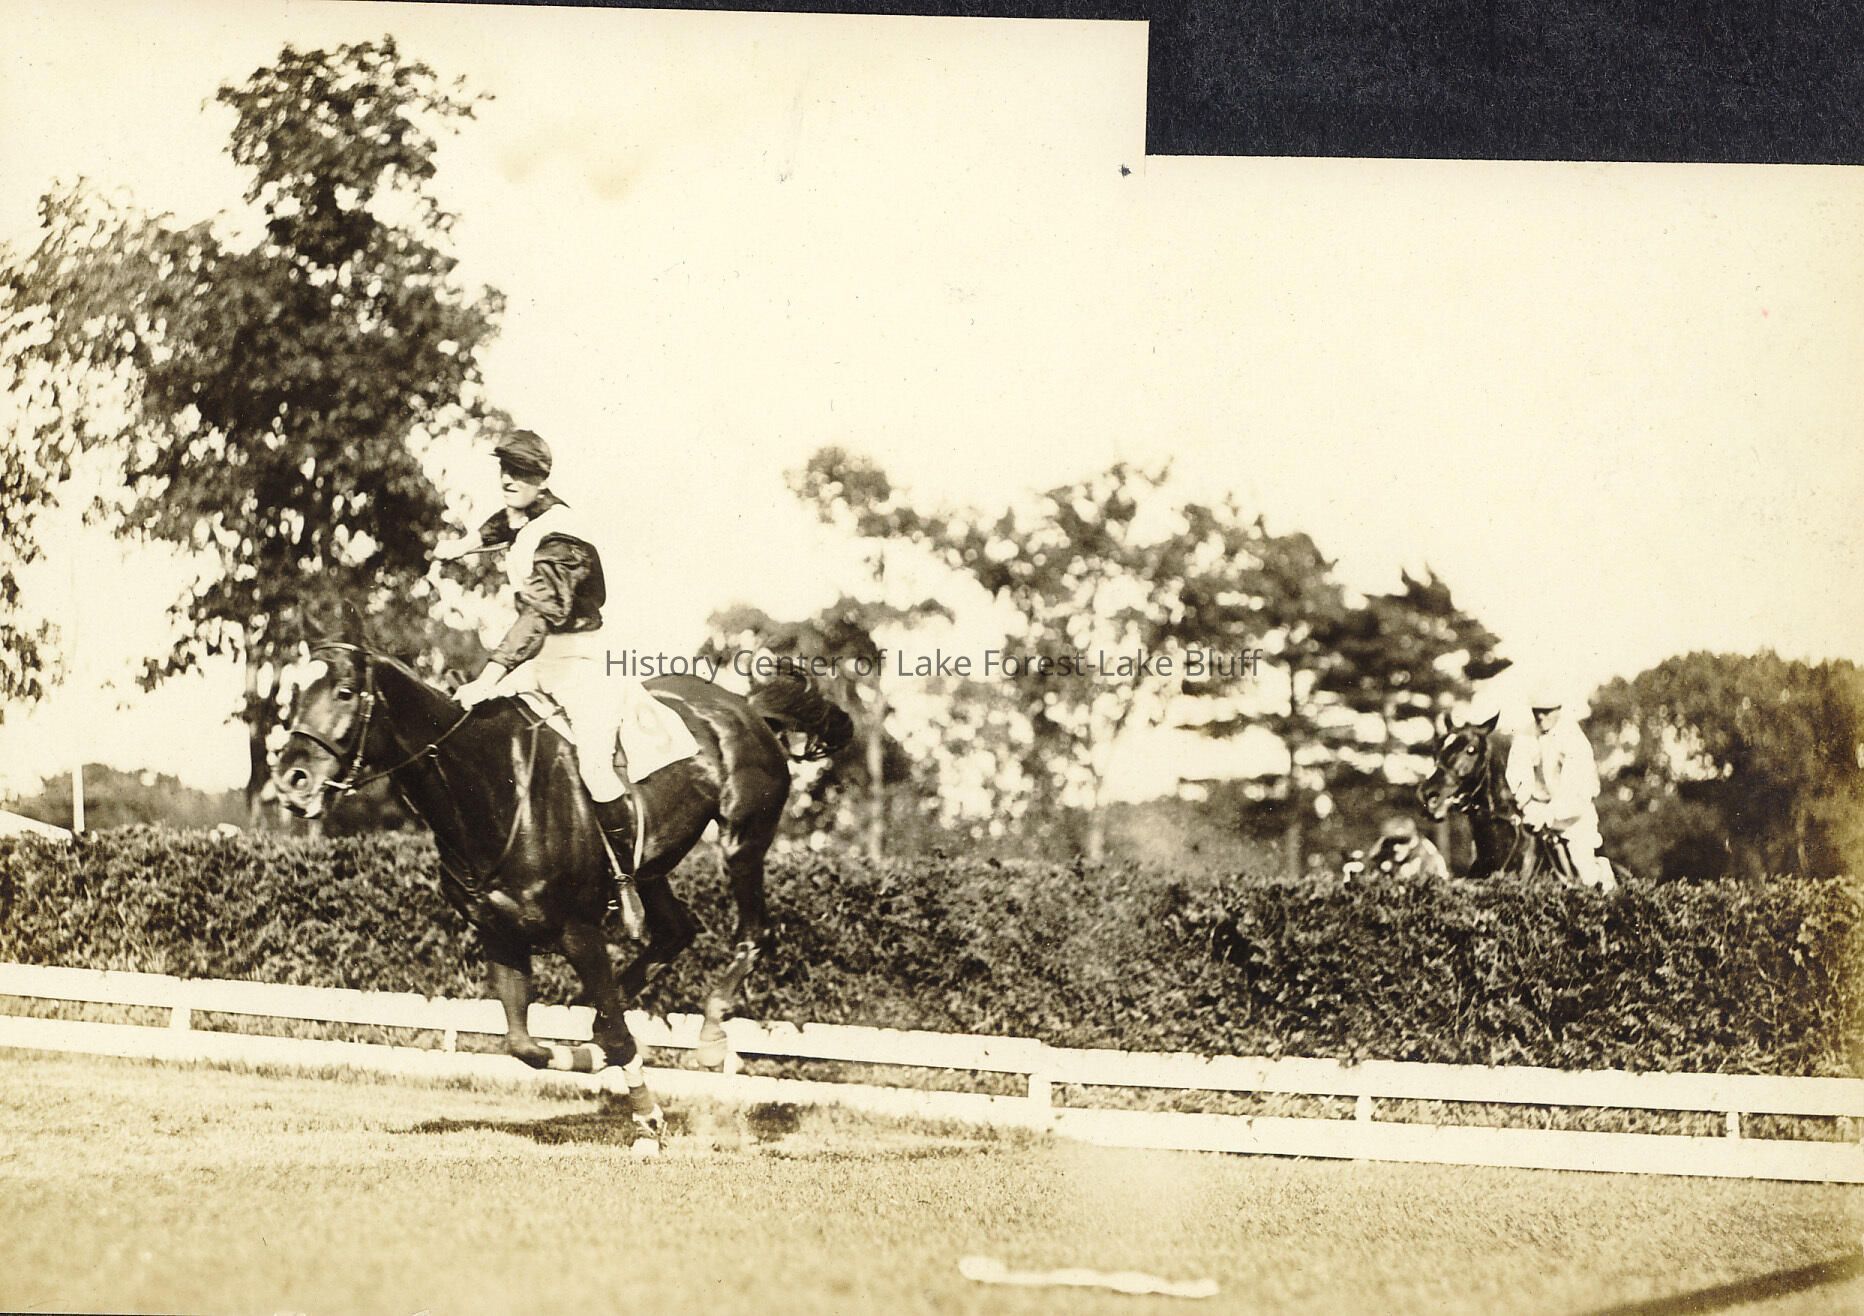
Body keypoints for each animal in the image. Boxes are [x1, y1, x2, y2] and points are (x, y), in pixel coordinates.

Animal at [269, 604, 852, 1143]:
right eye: (293, 692)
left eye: (345, 692)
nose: (292, 781)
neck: (492, 788)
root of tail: (745, 708)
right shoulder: (500, 935)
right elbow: (523, 1045)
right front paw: (588, 1055)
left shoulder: (579, 931)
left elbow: (611, 1033)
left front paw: (647, 1119)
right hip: (652, 868)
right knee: (674, 932)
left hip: (742, 841)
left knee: (754, 933)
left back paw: (709, 1036)